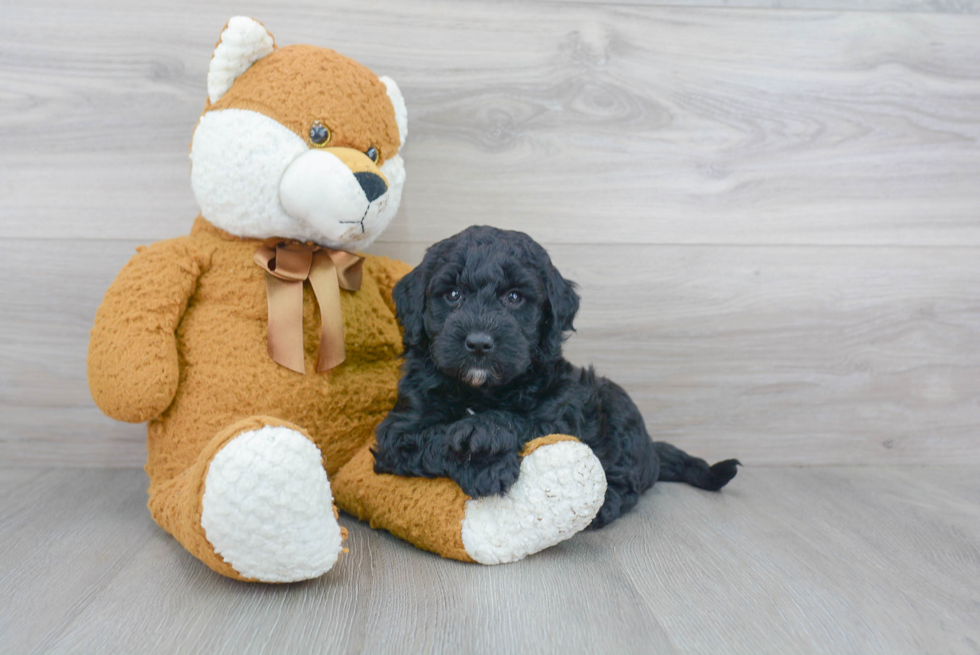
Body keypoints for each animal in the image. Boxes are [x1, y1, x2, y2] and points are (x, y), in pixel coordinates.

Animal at [372, 226, 740, 528]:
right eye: (452, 295)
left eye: (514, 297)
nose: (478, 342)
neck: (482, 390)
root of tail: (653, 449)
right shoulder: (398, 430)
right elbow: (431, 438)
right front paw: (484, 468)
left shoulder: (560, 409)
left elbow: (518, 418)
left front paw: (482, 434)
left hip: (616, 405)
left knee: (627, 482)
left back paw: (604, 506)